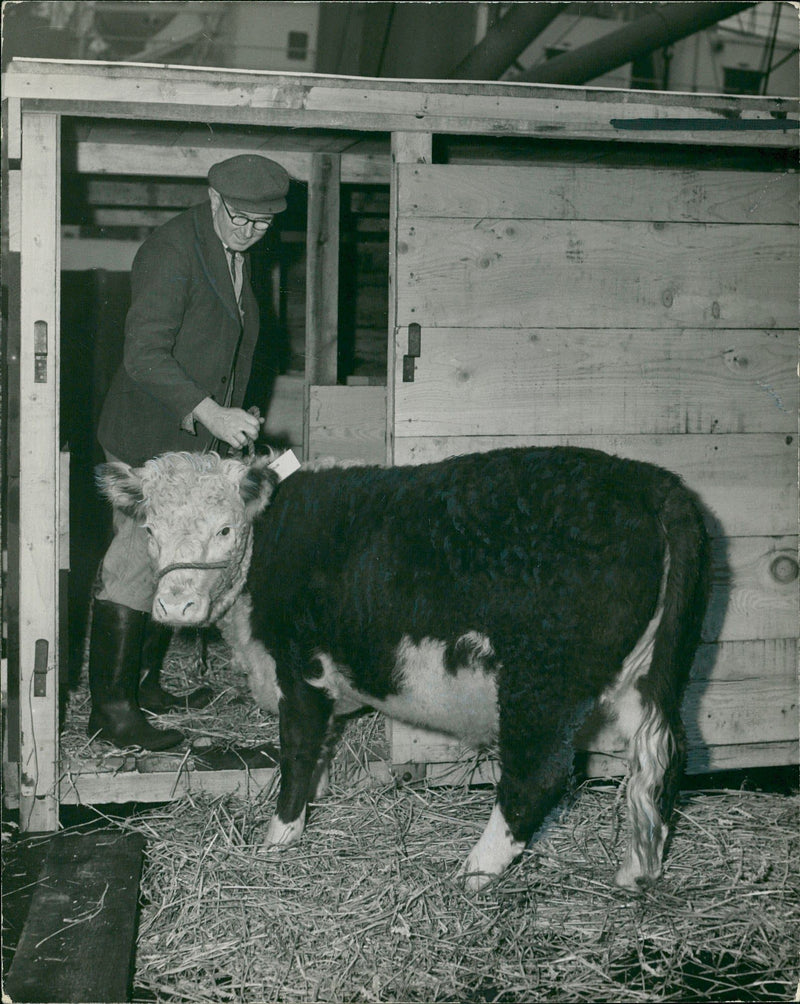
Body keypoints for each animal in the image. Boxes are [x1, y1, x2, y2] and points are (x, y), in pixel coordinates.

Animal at [98, 447, 706, 895]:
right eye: (150, 529)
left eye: (225, 529)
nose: (175, 606)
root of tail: (647, 479)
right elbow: (319, 752)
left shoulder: (299, 669)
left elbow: (297, 750)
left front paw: (278, 838)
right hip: (646, 676)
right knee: (657, 760)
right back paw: (636, 872)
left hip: (542, 681)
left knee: (540, 774)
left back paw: (473, 872)